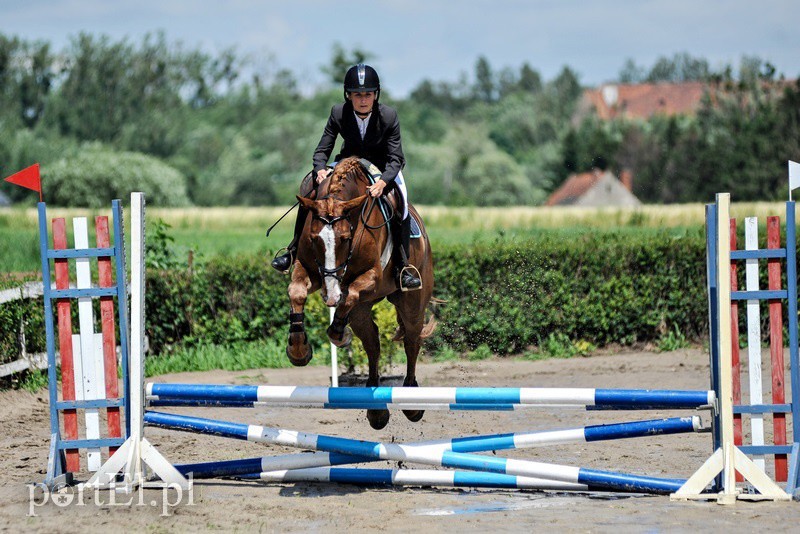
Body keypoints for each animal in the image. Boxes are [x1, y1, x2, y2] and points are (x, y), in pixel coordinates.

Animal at [284, 158, 434, 432]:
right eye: (314, 238)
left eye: (345, 238)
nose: (330, 294)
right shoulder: (307, 268)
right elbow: (297, 293)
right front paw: (299, 350)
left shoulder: (371, 276)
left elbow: (350, 293)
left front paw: (338, 335)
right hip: (362, 312)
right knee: (373, 345)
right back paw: (377, 412)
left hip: (413, 303)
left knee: (411, 342)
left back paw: (412, 403)